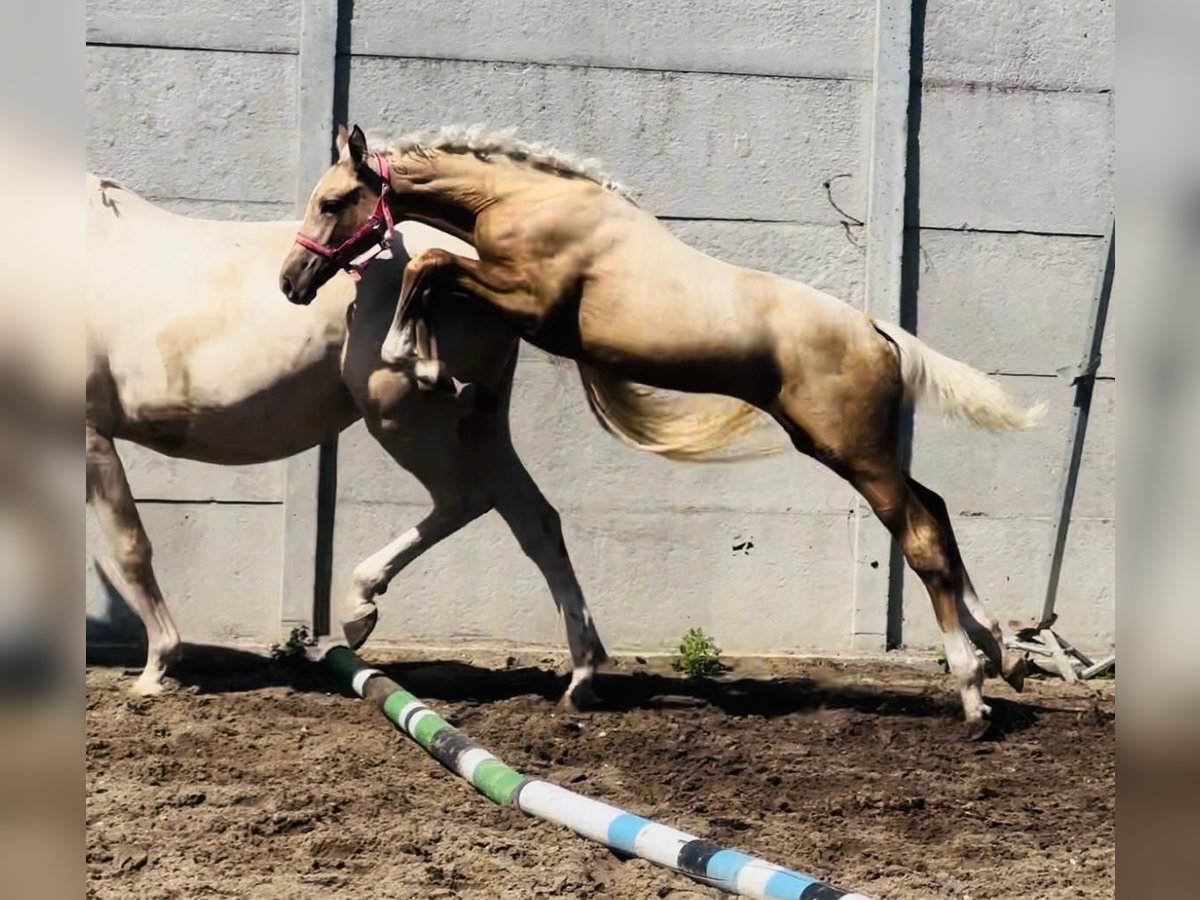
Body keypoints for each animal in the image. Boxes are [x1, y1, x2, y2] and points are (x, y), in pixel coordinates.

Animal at [84, 170, 604, 705]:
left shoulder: (90, 434)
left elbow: (129, 547)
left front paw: (156, 670)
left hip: (400, 416)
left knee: (464, 499)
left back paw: (359, 609)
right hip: (481, 421)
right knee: (536, 521)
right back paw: (581, 678)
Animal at [283, 128, 1051, 734]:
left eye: (333, 201)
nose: (293, 281)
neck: (526, 203)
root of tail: (879, 332)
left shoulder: (530, 304)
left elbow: (429, 264)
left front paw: (418, 363)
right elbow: (432, 270)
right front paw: (431, 366)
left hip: (855, 454)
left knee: (921, 536)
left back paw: (973, 695)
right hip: (851, 448)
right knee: (939, 512)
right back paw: (1005, 655)